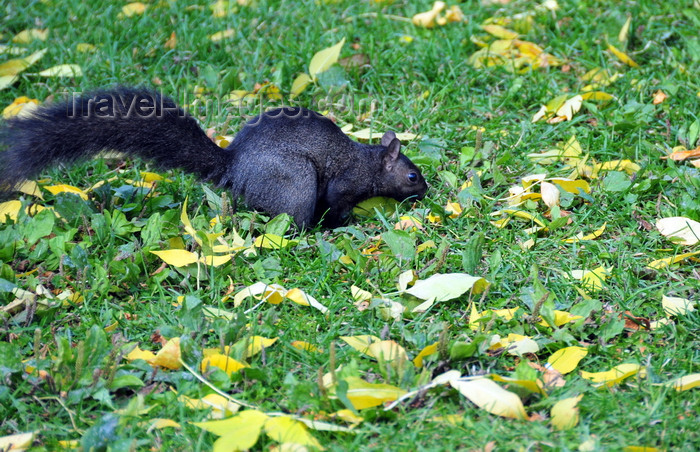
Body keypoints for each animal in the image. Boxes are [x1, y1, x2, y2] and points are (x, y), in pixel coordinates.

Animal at [0, 88, 426, 228]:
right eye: (412, 177)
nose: (426, 192)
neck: (369, 161)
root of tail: (234, 167)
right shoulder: (345, 182)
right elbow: (338, 203)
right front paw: (344, 224)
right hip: (295, 182)